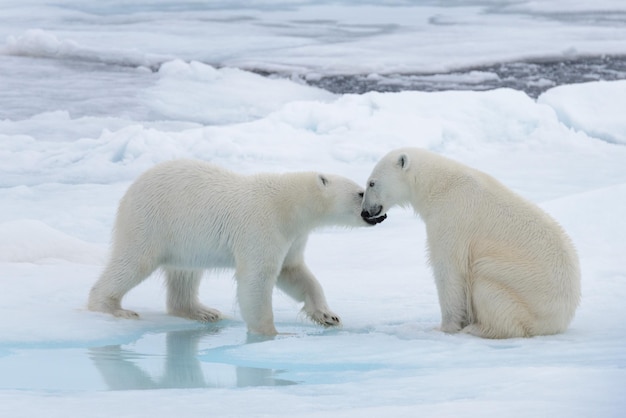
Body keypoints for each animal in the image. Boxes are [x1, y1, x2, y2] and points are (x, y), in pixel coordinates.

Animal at [86, 158, 380, 334]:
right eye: (361, 192)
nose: (375, 214)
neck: (288, 204)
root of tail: (131, 190)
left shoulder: (293, 236)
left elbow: (294, 272)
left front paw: (328, 315)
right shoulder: (262, 225)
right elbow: (257, 278)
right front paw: (269, 333)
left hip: (184, 240)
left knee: (185, 274)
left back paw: (202, 311)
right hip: (151, 221)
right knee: (133, 262)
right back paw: (113, 308)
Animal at [360, 149, 580, 338]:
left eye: (371, 183)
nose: (365, 212)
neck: (438, 184)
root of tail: (560, 321)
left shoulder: (452, 217)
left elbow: (448, 269)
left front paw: (444, 328)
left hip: (521, 290)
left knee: (486, 282)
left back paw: (477, 329)